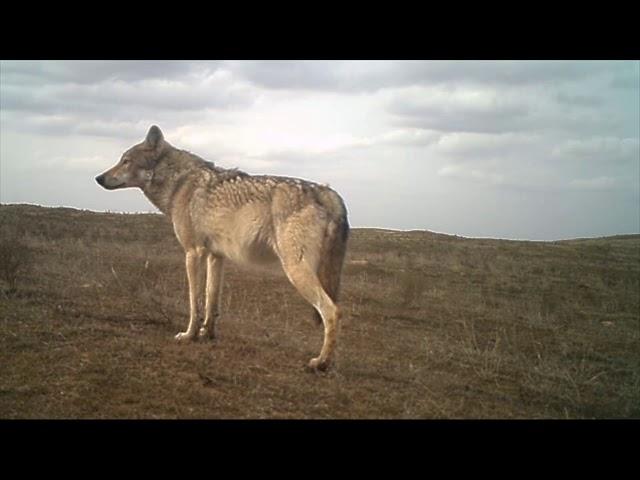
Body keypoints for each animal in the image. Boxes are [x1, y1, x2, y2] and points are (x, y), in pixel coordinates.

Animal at [94, 124, 350, 372]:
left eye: (126, 161)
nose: (98, 178)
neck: (179, 183)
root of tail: (328, 193)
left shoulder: (193, 253)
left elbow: (194, 302)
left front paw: (189, 335)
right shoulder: (215, 256)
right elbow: (211, 300)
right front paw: (207, 334)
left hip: (295, 270)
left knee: (333, 311)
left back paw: (321, 362)